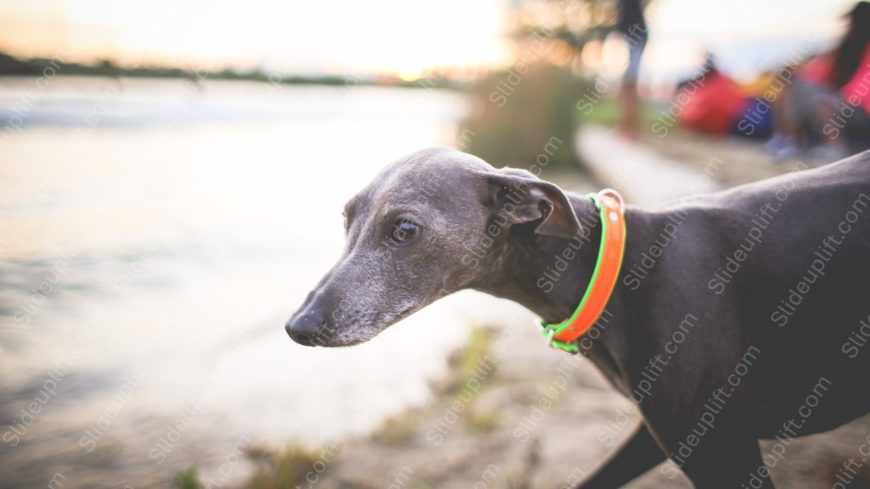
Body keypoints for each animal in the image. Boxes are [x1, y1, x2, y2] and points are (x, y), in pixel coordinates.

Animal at [288, 149, 870, 488]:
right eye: (347, 219)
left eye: (404, 229)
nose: (298, 326)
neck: (623, 273)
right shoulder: (662, 436)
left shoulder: (721, 450)